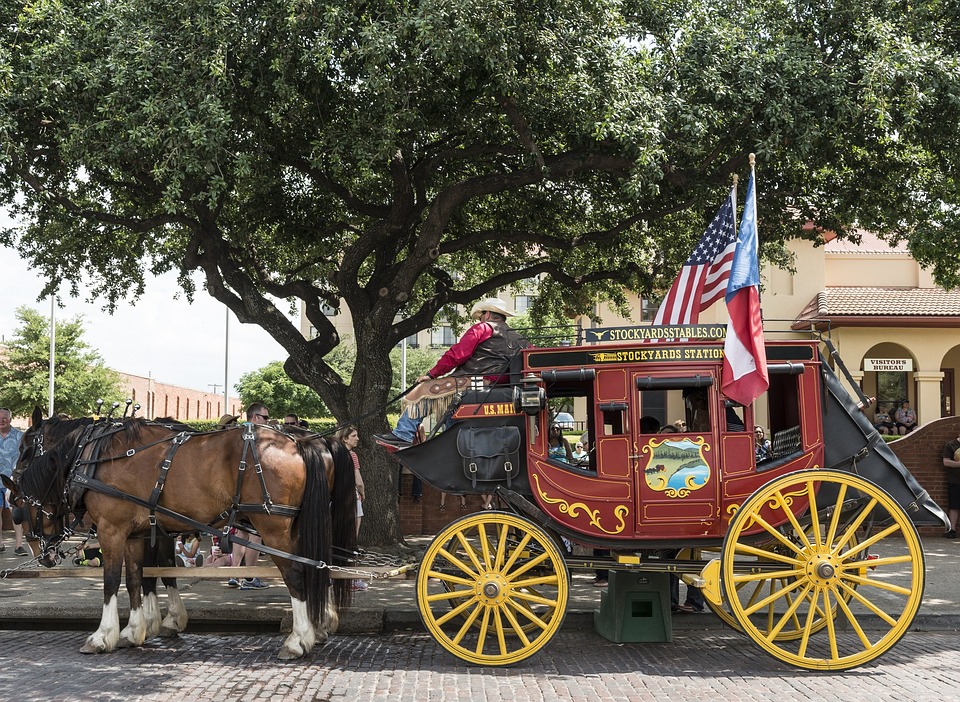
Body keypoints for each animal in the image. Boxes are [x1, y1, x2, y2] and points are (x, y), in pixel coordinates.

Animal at [3, 412, 356, 660]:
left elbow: (114, 580)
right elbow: (139, 577)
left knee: (297, 572)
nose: (43, 555)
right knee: (319, 565)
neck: (93, 454)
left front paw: (104, 636)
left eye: (24, 448)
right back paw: (318, 626)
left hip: (272, 526)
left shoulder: (111, 528)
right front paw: (136, 629)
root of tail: (300, 442)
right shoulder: (138, 532)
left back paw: (298, 640)